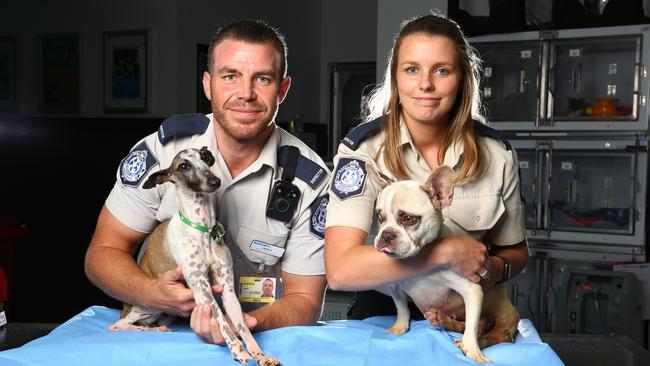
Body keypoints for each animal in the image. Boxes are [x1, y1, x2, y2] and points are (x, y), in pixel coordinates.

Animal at [108, 146, 278, 366]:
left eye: (204, 157)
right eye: (183, 166)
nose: (215, 181)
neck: (203, 227)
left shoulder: (227, 289)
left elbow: (242, 327)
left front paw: (260, 355)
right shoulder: (203, 291)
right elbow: (222, 322)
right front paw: (238, 351)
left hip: (164, 313)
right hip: (147, 307)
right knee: (117, 325)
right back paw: (149, 329)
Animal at [370, 165, 516, 364]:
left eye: (408, 219)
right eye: (379, 217)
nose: (386, 234)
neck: (419, 259)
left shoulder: (471, 289)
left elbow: (471, 329)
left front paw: (473, 351)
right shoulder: (395, 286)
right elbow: (401, 308)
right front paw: (399, 327)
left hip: (505, 322)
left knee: (488, 332)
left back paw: (472, 342)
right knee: (467, 325)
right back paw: (443, 320)